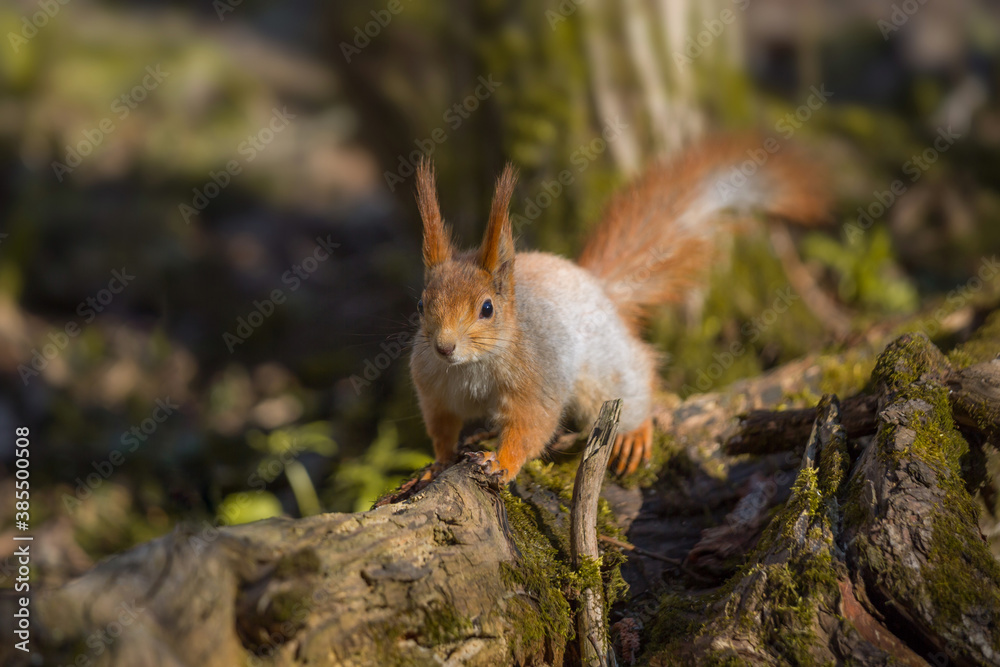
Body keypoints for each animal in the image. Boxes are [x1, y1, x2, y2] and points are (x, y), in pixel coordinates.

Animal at [409, 137, 828, 483]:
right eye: (421, 304)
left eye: (487, 308)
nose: (444, 347)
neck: (470, 368)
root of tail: (598, 288)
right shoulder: (433, 390)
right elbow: (442, 429)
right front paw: (437, 465)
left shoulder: (539, 380)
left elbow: (531, 427)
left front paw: (501, 462)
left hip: (605, 369)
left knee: (640, 372)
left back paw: (635, 432)